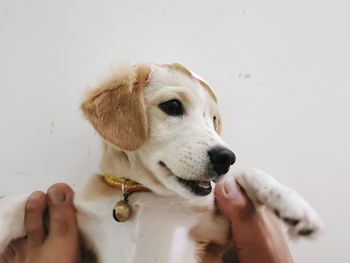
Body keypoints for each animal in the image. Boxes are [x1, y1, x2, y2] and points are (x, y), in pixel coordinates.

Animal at [0, 63, 322, 262]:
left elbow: (244, 175)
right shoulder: (81, 228)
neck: (142, 197)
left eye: (213, 119)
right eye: (172, 106)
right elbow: (34, 197)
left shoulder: (216, 237)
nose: (226, 158)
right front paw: (4, 222)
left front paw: (294, 206)